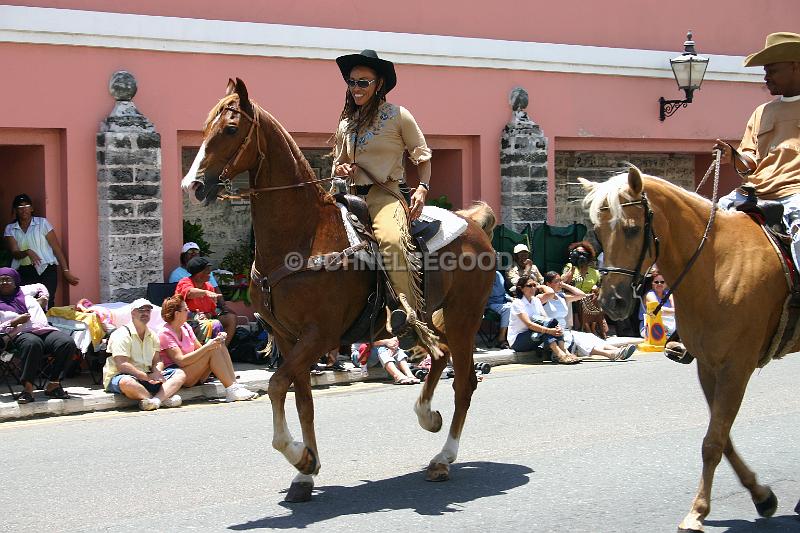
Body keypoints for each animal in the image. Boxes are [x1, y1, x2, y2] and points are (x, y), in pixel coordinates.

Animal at [182, 78, 496, 498]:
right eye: (204, 129)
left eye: (231, 129)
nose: (193, 186)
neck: (303, 235)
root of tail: (473, 224)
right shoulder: (287, 338)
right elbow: (301, 399)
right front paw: (305, 470)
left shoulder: (319, 334)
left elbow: (277, 386)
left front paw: (298, 457)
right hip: (431, 317)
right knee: (439, 355)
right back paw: (427, 416)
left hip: (464, 319)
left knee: (464, 382)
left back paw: (443, 458)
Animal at [580, 165, 792, 528]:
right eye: (597, 231)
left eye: (632, 229)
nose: (612, 302)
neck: (717, 265)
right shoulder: (709, 366)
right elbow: (721, 438)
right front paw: (760, 495)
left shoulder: (736, 367)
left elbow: (714, 440)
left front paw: (697, 512)